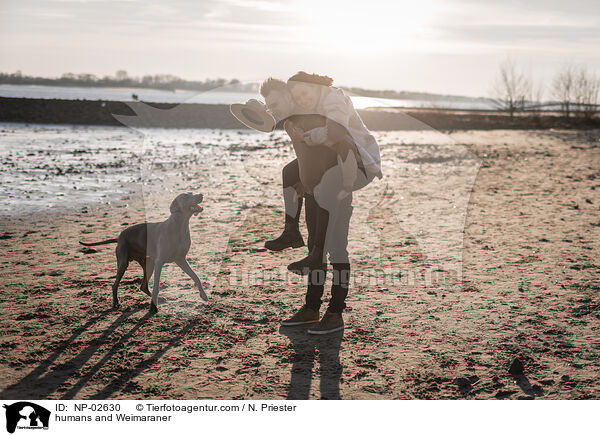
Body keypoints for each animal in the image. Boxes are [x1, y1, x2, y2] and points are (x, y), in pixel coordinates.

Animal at [79, 192, 207, 312]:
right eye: (185, 196)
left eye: (191, 193)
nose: (201, 195)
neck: (179, 226)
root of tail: (119, 237)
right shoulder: (160, 262)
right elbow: (156, 286)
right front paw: (152, 308)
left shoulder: (180, 259)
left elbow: (196, 277)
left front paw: (203, 295)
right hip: (124, 263)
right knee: (115, 285)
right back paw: (116, 303)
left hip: (148, 262)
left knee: (143, 286)